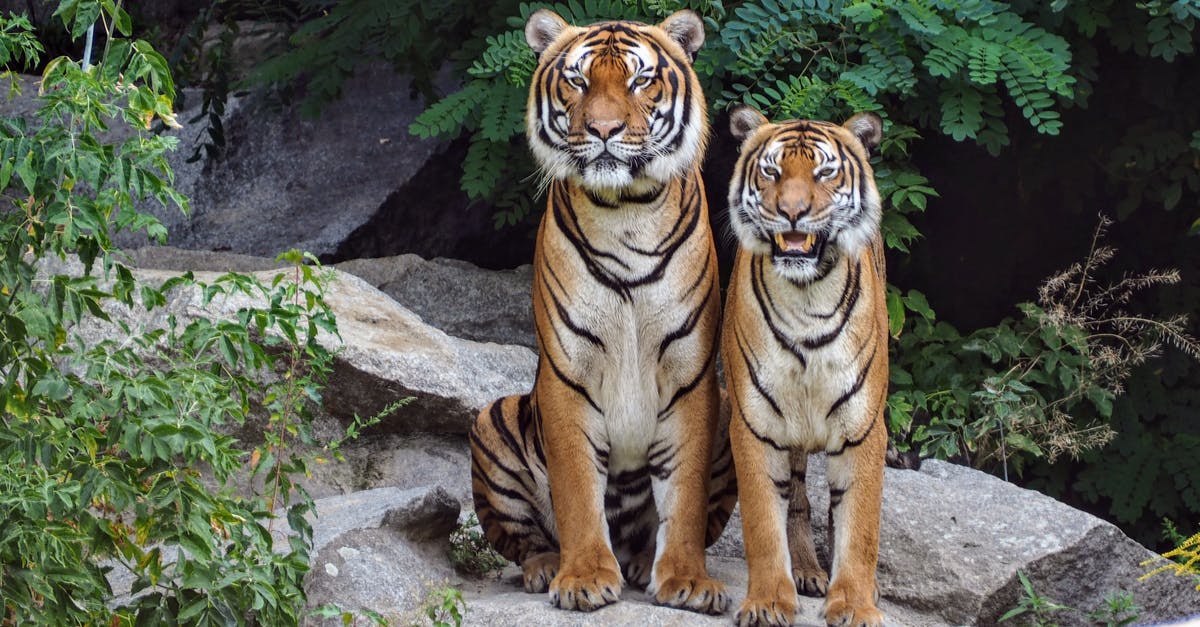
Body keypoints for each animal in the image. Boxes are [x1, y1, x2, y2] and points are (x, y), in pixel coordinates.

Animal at [463, 8, 734, 614]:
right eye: (578, 80)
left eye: (640, 80)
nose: (604, 130)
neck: (626, 210)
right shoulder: (568, 374)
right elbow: (577, 490)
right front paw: (584, 577)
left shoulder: (691, 375)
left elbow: (683, 496)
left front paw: (687, 579)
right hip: (494, 418)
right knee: (524, 539)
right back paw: (547, 566)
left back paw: (641, 561)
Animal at [720, 107, 892, 624]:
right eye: (772, 172)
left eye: (824, 172)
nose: (792, 212)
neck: (807, 298)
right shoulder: (754, 424)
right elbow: (762, 522)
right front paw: (767, 602)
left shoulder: (863, 428)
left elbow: (859, 527)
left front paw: (855, 603)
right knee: (795, 499)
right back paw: (806, 572)